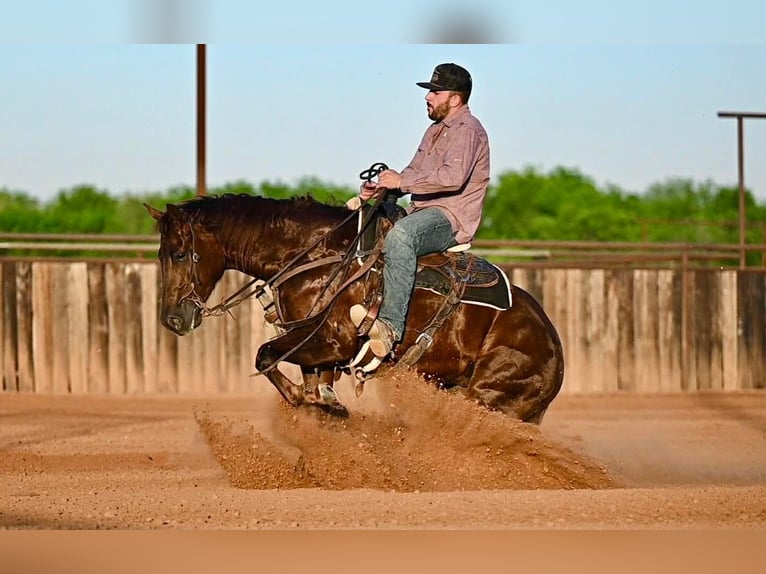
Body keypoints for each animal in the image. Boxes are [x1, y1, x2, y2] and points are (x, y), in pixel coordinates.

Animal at [145, 193, 564, 423]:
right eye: (161, 255)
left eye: (180, 253)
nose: (172, 319)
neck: (317, 255)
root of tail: (556, 350)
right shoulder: (313, 349)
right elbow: (310, 380)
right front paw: (322, 405)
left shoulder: (334, 341)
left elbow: (264, 356)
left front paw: (314, 403)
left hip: (486, 394)